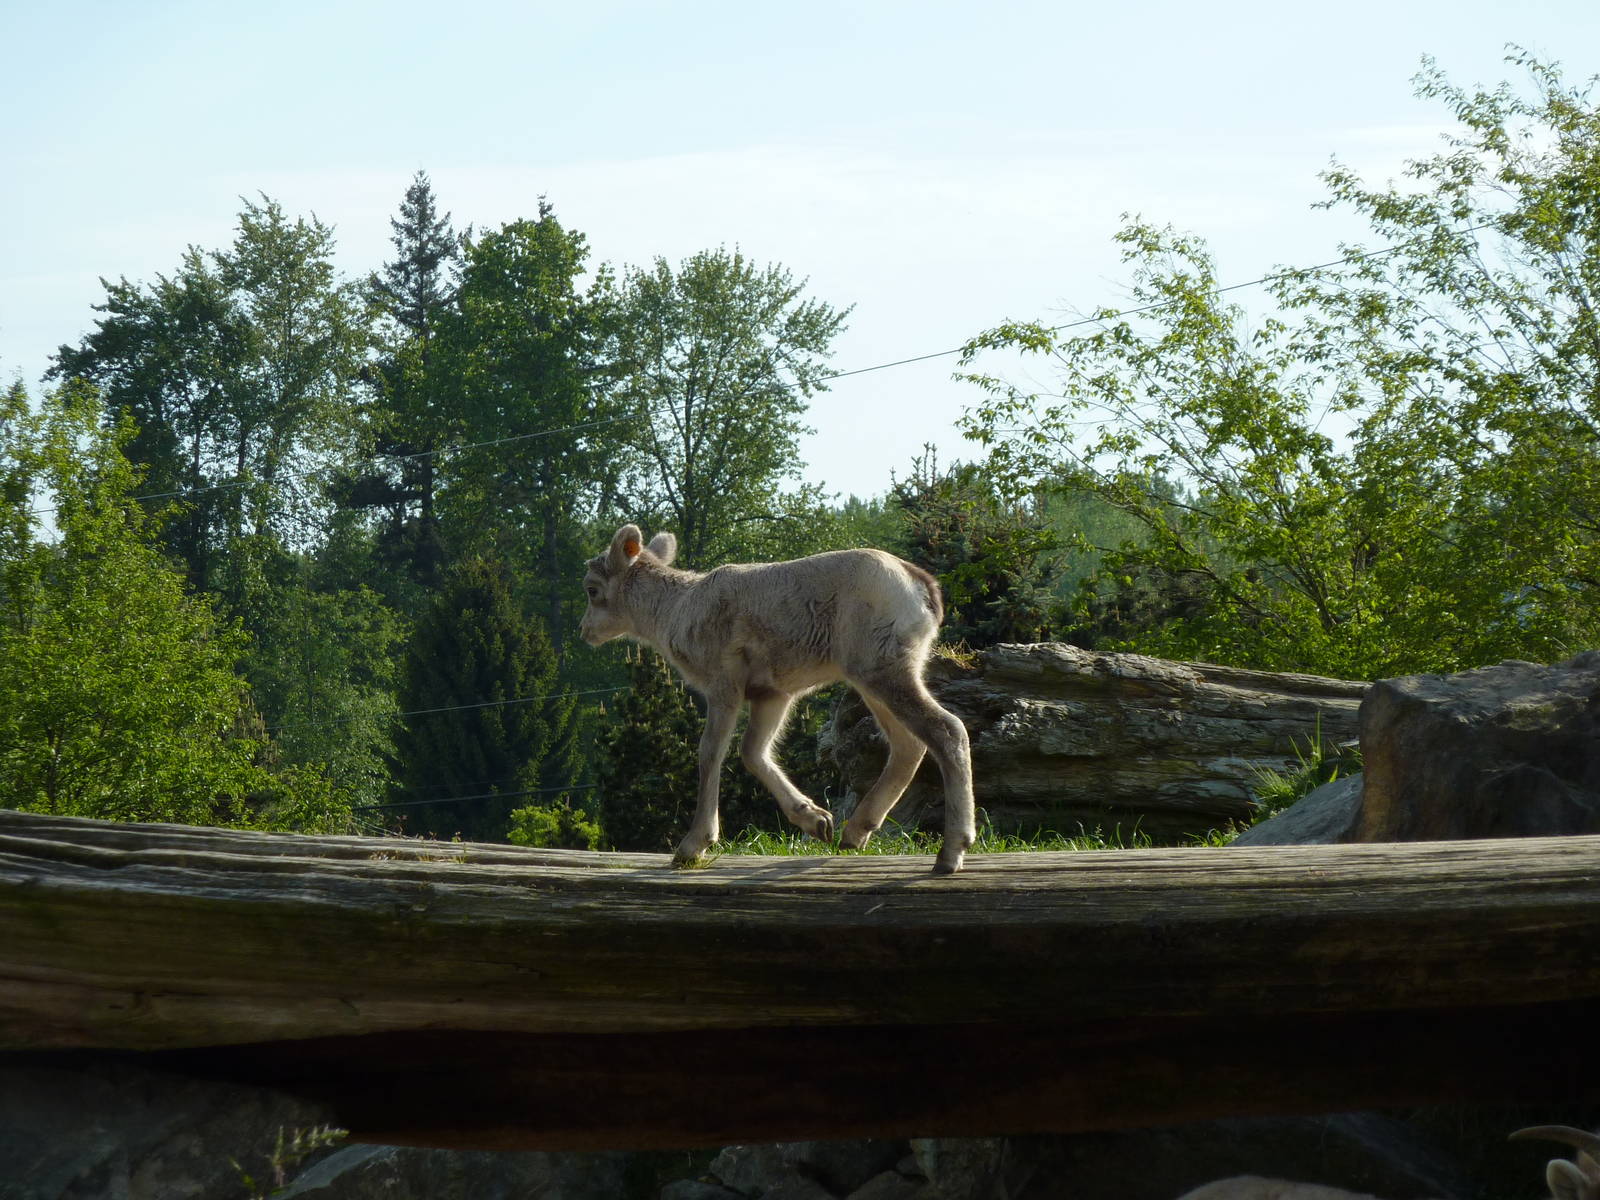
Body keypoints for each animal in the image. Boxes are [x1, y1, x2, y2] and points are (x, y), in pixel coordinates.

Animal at [579, 524, 977, 873]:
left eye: (592, 590)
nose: (584, 631)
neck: (674, 617)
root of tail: (925, 590)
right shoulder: (773, 691)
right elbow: (753, 752)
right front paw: (817, 821)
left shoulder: (725, 680)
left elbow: (710, 752)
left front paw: (692, 847)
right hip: (873, 673)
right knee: (909, 744)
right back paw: (853, 832)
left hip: (883, 666)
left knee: (948, 729)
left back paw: (950, 853)